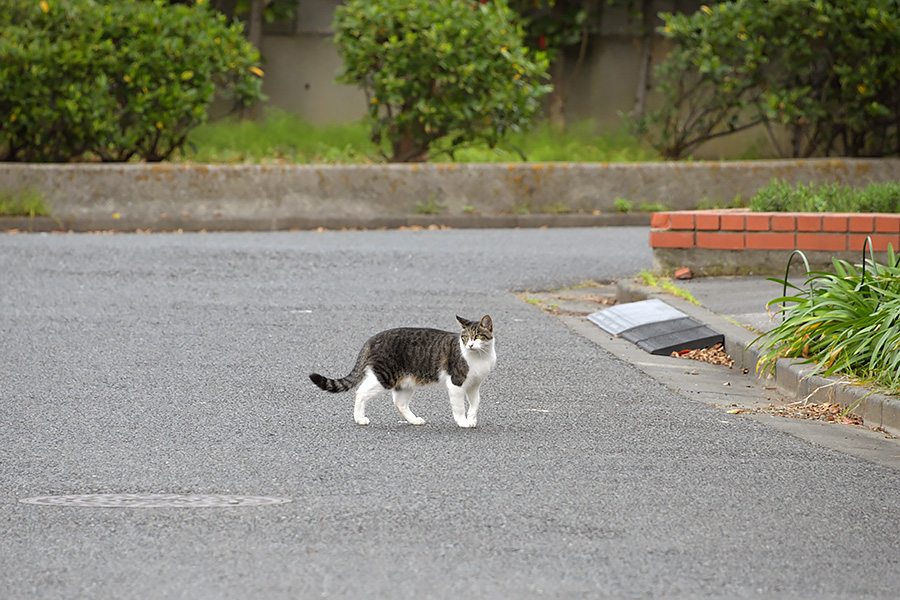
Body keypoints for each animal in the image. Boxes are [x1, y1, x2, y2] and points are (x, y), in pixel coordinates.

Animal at [308, 314, 492, 426]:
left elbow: (475, 403)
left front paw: (472, 419)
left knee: (400, 403)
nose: (469, 345)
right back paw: (360, 419)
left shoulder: (474, 385)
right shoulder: (456, 383)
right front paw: (463, 422)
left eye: (477, 336)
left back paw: (414, 420)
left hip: (405, 382)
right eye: (465, 337)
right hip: (385, 377)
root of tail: (372, 339)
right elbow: (459, 406)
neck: (479, 357)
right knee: (360, 392)